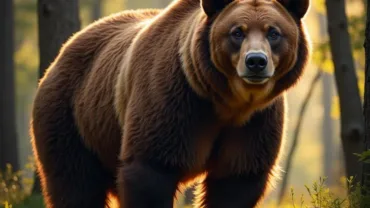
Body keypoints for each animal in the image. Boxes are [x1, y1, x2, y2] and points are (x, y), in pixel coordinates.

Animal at [31, 0, 310, 207]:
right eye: (237, 32)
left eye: (273, 32)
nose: (256, 61)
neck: (227, 101)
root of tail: (65, 48)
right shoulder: (175, 104)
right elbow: (151, 170)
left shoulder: (254, 124)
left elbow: (237, 181)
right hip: (72, 119)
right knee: (75, 184)